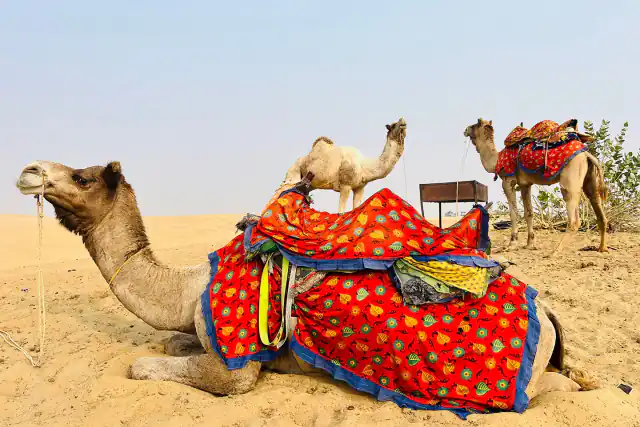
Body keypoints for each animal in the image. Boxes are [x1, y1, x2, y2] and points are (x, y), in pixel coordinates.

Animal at [15, 160, 595, 409]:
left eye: (82, 176)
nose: (29, 170)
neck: (187, 287)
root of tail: (546, 313)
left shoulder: (237, 367)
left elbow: (141, 366)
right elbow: (174, 342)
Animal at [464, 119, 608, 254]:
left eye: (475, 124)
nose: (465, 130)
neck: (496, 160)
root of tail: (586, 155)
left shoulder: (508, 181)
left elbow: (513, 213)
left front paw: (511, 244)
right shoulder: (525, 185)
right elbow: (529, 213)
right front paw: (530, 244)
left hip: (570, 178)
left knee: (573, 216)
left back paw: (554, 252)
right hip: (590, 178)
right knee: (598, 208)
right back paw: (602, 248)